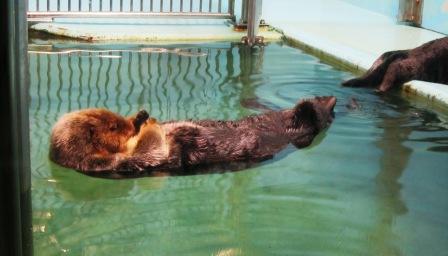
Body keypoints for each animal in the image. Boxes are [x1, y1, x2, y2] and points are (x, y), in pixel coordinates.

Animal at [49, 95, 336, 175]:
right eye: (112, 128)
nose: (131, 124)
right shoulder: (123, 163)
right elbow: (155, 150)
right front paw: (162, 128)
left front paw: (143, 118)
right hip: (296, 129)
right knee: (313, 120)